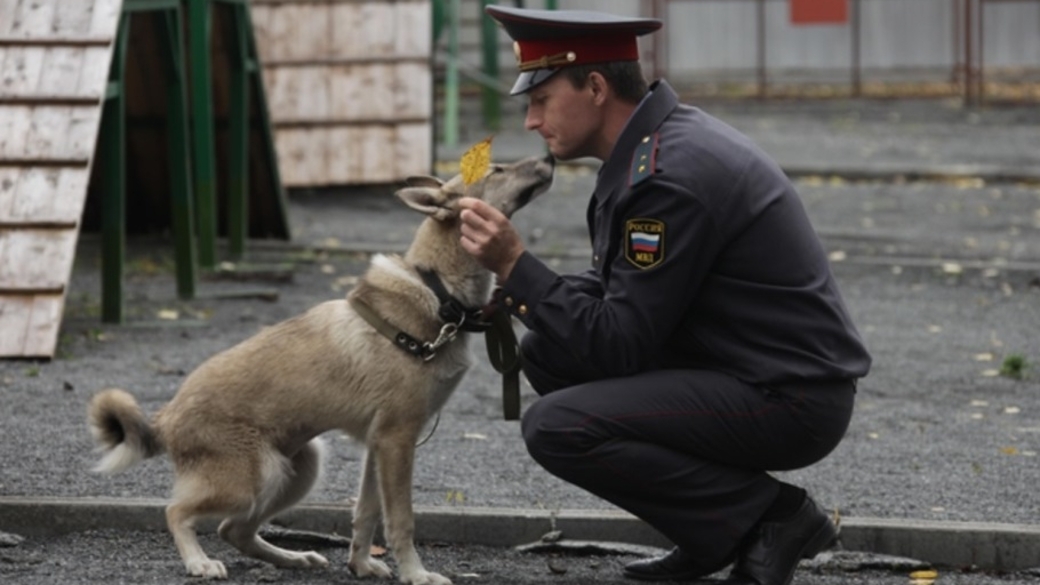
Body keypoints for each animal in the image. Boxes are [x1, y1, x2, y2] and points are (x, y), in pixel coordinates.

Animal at [87, 154, 555, 584]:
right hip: (252, 478)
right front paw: (415, 574)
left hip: (297, 470)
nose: (550, 157)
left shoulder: (379, 447)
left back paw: (293, 558)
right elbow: (401, 519)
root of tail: (165, 417)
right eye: (497, 169)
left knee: (234, 530)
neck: (437, 290)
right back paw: (199, 562)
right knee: (178, 511)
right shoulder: (397, 440)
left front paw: (361, 565)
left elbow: (367, 513)